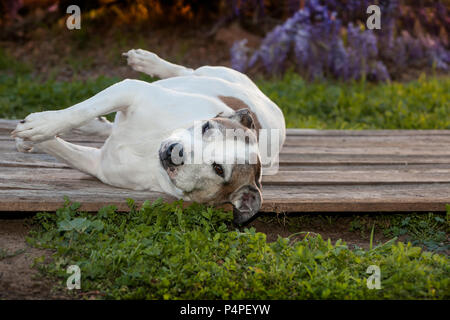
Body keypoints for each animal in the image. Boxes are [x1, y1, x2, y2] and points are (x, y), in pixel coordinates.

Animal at [12, 50, 286, 224]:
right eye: (207, 127)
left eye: (219, 169)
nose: (177, 152)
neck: (150, 148)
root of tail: (272, 105)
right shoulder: (131, 90)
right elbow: (81, 110)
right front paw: (42, 126)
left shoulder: (98, 164)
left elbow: (62, 148)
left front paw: (34, 137)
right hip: (215, 74)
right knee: (188, 70)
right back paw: (149, 62)